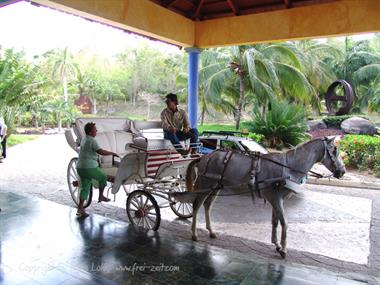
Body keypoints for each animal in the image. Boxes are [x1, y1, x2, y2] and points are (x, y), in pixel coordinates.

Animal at [171, 136, 346, 258]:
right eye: (334, 150)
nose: (342, 171)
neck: (288, 168)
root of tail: (203, 157)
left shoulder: (276, 199)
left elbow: (275, 221)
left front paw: (276, 244)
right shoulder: (275, 198)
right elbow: (284, 223)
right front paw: (283, 249)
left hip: (216, 186)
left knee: (207, 205)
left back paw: (211, 231)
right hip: (206, 183)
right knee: (196, 205)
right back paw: (194, 234)